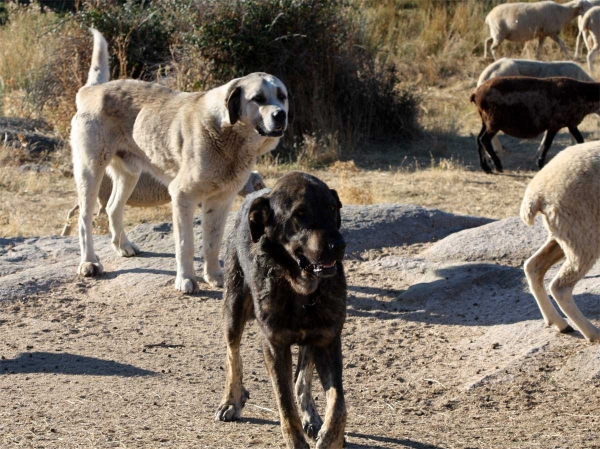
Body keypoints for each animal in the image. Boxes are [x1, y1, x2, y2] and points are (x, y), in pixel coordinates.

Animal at [72, 29, 288, 292]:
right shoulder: (183, 196)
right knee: (85, 219)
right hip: (90, 171)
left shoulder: (221, 200)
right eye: (258, 98)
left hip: (129, 174)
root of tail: (91, 90)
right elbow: (186, 244)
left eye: (282, 96)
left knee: (114, 207)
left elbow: (213, 242)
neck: (230, 137)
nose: (281, 115)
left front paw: (215, 276)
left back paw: (124, 246)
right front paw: (186, 280)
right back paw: (89, 263)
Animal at [214, 172, 346, 448]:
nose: (339, 246)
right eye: (300, 213)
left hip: (311, 341)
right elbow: (285, 405)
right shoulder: (274, 346)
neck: (301, 291)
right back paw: (231, 399)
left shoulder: (328, 341)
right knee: (233, 354)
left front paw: (330, 438)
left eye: (332, 208)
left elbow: (338, 403)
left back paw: (312, 417)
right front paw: (297, 441)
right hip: (233, 310)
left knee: (302, 379)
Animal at [520, 142, 600, 342]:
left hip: (564, 234)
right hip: (582, 235)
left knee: (533, 266)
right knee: (560, 287)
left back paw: (560, 324)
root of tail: (536, 194)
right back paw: (592, 333)